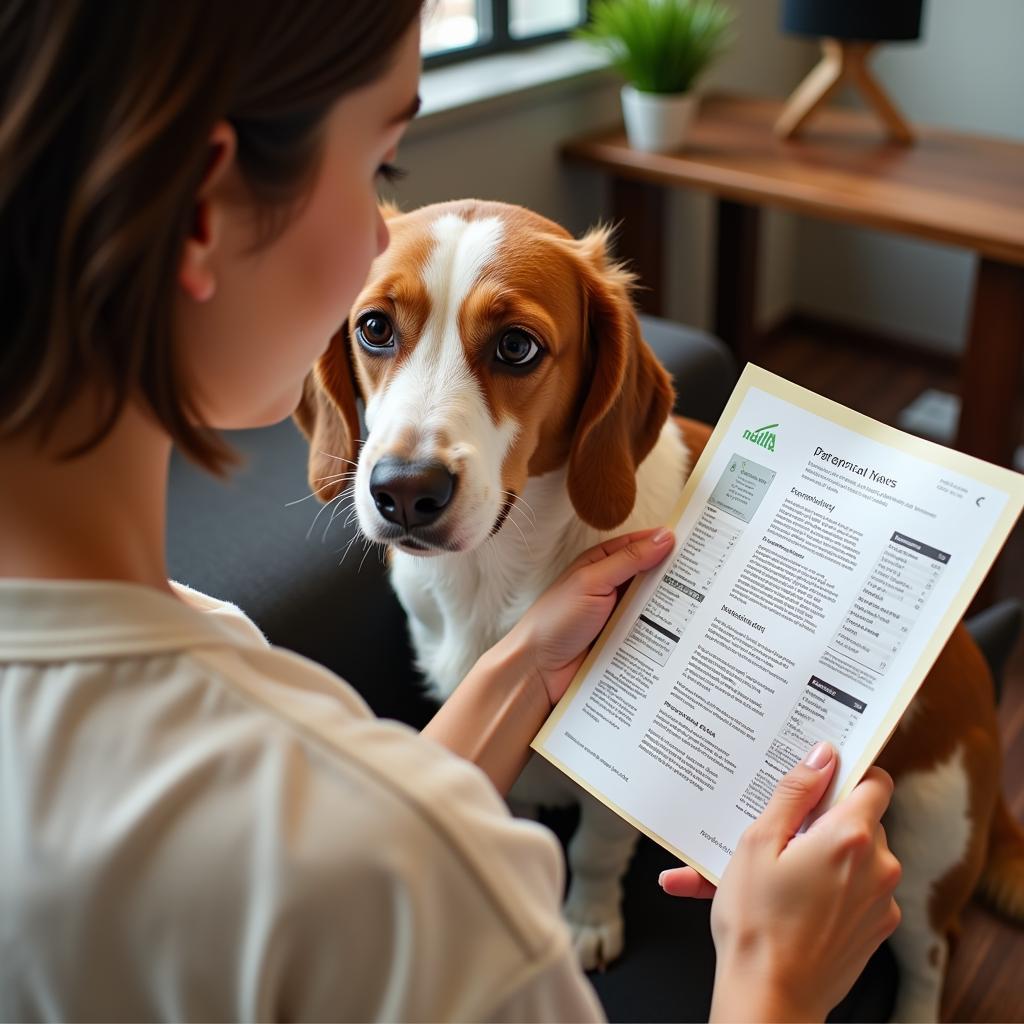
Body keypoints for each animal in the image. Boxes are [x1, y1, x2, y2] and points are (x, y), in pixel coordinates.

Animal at [296, 201, 1024, 1024]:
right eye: (374, 328)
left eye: (516, 346)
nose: (404, 490)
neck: (498, 569)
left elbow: (594, 849)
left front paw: (585, 919)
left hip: (931, 839)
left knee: (930, 953)